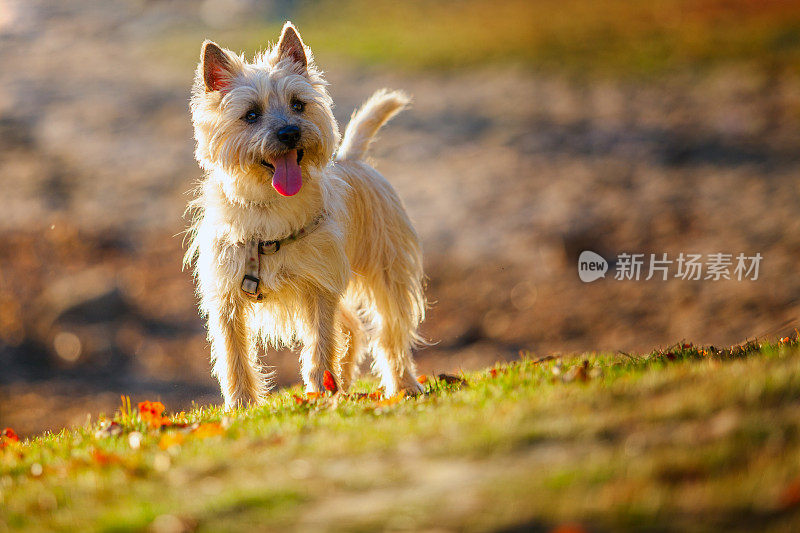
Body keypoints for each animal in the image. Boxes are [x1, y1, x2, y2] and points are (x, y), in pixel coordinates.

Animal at [185, 21, 428, 408]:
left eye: (298, 105)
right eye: (251, 114)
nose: (290, 132)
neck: (268, 207)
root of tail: (351, 158)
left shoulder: (318, 288)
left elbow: (320, 344)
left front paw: (319, 394)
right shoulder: (226, 297)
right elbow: (233, 354)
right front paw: (240, 405)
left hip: (386, 275)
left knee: (389, 332)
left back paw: (402, 385)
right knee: (353, 328)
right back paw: (345, 382)